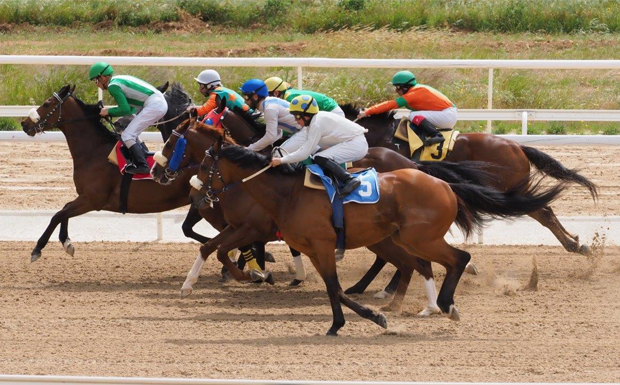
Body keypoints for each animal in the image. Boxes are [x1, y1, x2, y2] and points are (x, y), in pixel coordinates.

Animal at [18, 84, 228, 260]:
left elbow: (59, 214)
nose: (24, 123)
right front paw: (66, 242)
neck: (94, 151)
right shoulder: (86, 197)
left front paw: (37, 248)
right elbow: (64, 210)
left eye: (46, 103)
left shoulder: (92, 200)